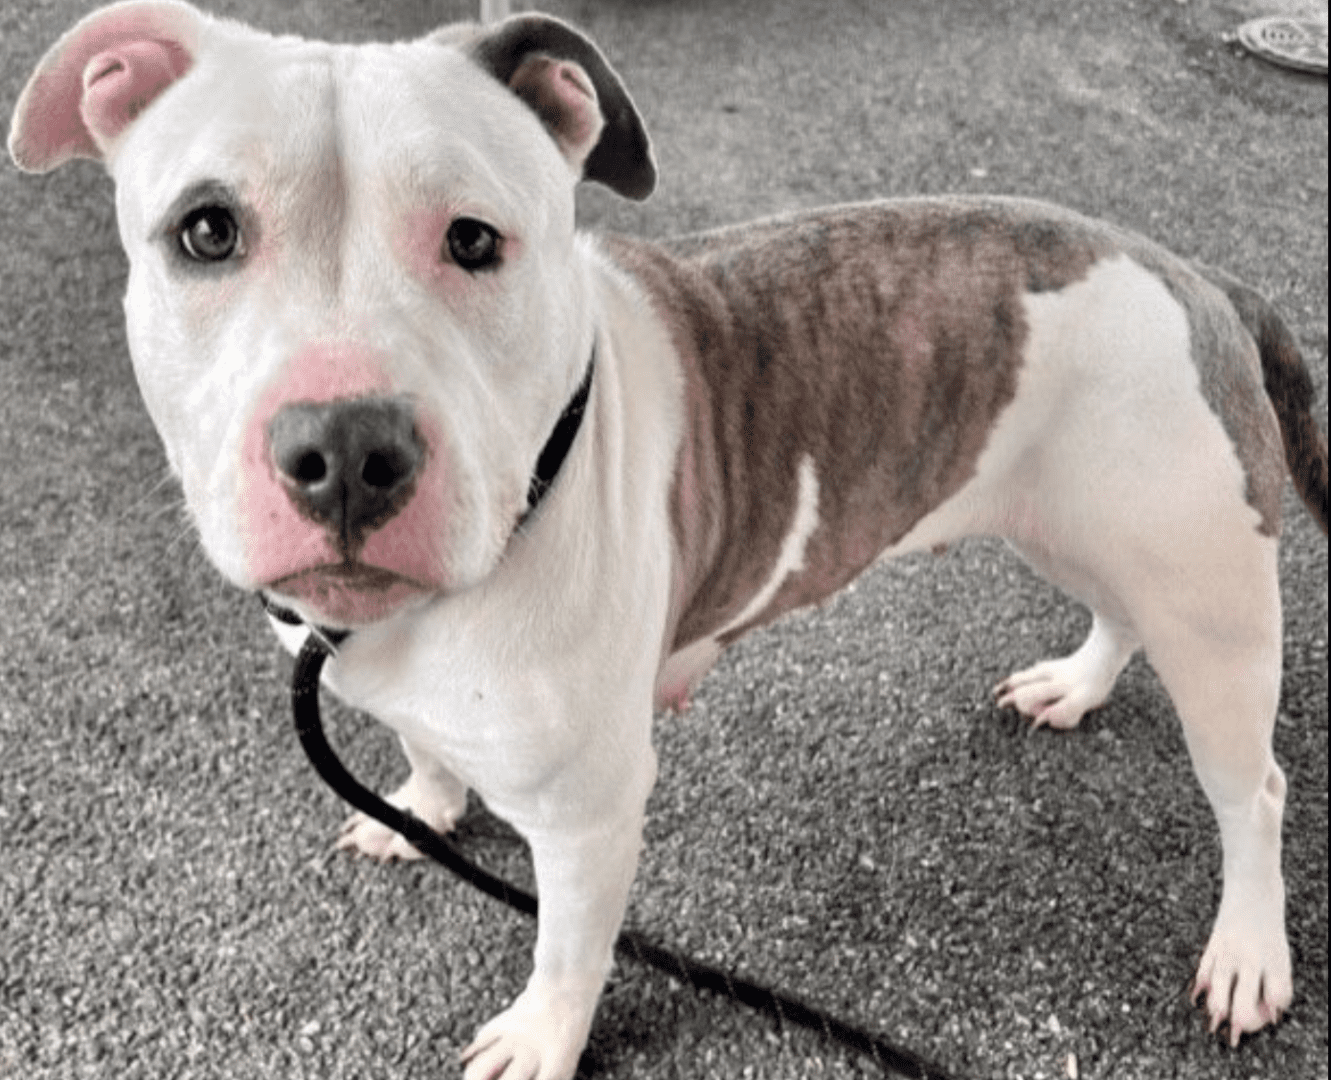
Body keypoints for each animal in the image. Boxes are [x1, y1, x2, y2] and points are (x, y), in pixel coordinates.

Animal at [12, 4, 1331, 1076]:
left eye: (475, 240)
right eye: (206, 231)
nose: (344, 446)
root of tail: (1192, 275)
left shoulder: (588, 816)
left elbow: (566, 951)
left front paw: (542, 1040)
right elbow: (426, 750)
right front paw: (420, 808)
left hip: (1209, 605)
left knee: (1252, 790)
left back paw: (1246, 952)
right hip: (1064, 516)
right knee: (1113, 608)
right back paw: (1076, 684)